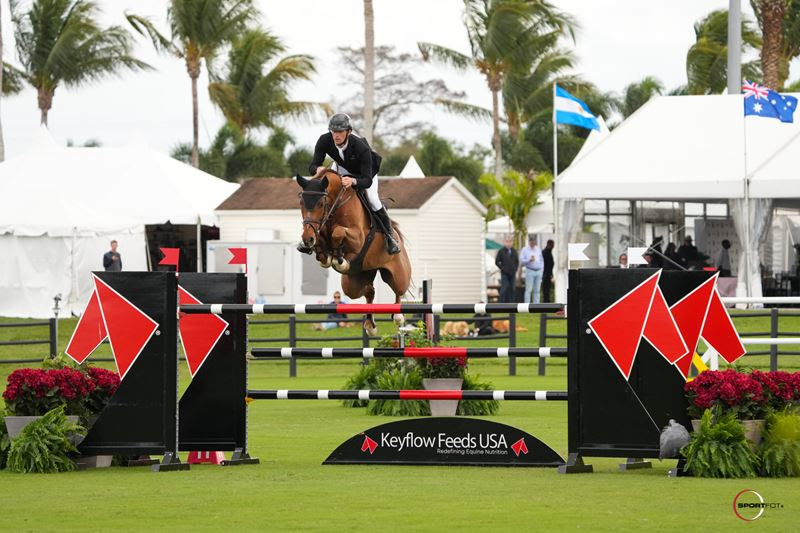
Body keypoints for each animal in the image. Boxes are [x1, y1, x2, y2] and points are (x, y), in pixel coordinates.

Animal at [296, 170, 412, 332]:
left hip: (398, 275)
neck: (337, 205)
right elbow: (322, 240)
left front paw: (339, 259)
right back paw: (370, 324)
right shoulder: (319, 229)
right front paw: (326, 256)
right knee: (369, 291)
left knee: (399, 291)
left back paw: (398, 316)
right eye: (301, 203)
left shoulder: (358, 239)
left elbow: (338, 232)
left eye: (321, 204)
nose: (307, 239)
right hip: (353, 284)